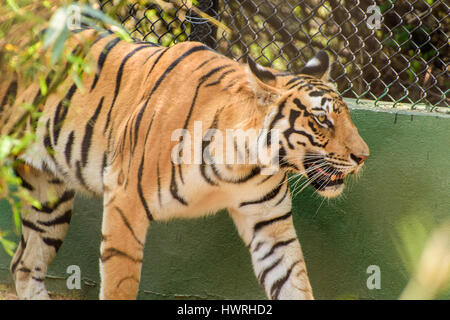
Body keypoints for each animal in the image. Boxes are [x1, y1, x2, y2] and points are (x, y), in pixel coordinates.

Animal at [0, 27, 370, 300]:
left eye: (346, 115)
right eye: (322, 119)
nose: (363, 156)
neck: (243, 165)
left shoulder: (270, 224)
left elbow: (293, 281)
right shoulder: (124, 202)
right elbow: (121, 283)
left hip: (49, 201)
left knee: (24, 265)